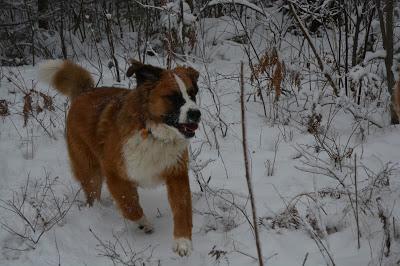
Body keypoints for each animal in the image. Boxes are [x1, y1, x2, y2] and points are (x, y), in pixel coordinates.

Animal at [38, 59, 200, 256]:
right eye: (174, 97)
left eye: (193, 94)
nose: (196, 113)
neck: (151, 132)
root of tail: (85, 92)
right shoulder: (115, 173)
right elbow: (129, 204)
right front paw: (143, 223)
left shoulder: (176, 173)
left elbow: (182, 208)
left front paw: (182, 241)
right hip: (90, 171)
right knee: (93, 194)